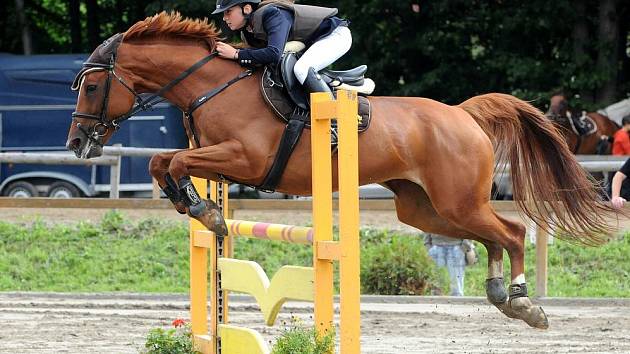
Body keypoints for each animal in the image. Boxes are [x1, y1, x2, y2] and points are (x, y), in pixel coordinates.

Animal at [66, 13, 620, 330]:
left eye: (91, 87)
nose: (76, 143)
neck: (210, 86)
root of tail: (463, 114)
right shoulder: (220, 159)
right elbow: (163, 162)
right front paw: (199, 209)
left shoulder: (244, 159)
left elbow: (175, 160)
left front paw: (207, 213)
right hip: (425, 208)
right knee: (493, 235)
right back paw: (502, 295)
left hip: (457, 199)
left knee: (512, 230)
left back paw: (525, 304)